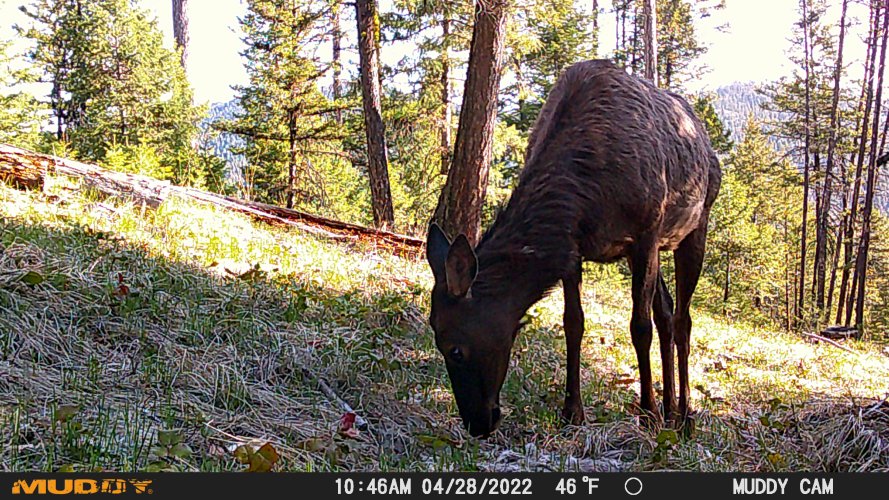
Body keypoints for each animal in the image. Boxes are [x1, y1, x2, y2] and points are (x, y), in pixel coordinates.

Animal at [426, 60, 722, 438]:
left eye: (456, 349)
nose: (478, 423)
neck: (584, 193)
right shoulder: (576, 248)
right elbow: (574, 323)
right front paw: (572, 412)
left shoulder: (646, 233)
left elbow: (639, 327)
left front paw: (647, 413)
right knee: (667, 313)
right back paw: (671, 408)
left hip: (693, 226)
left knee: (683, 319)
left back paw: (683, 415)